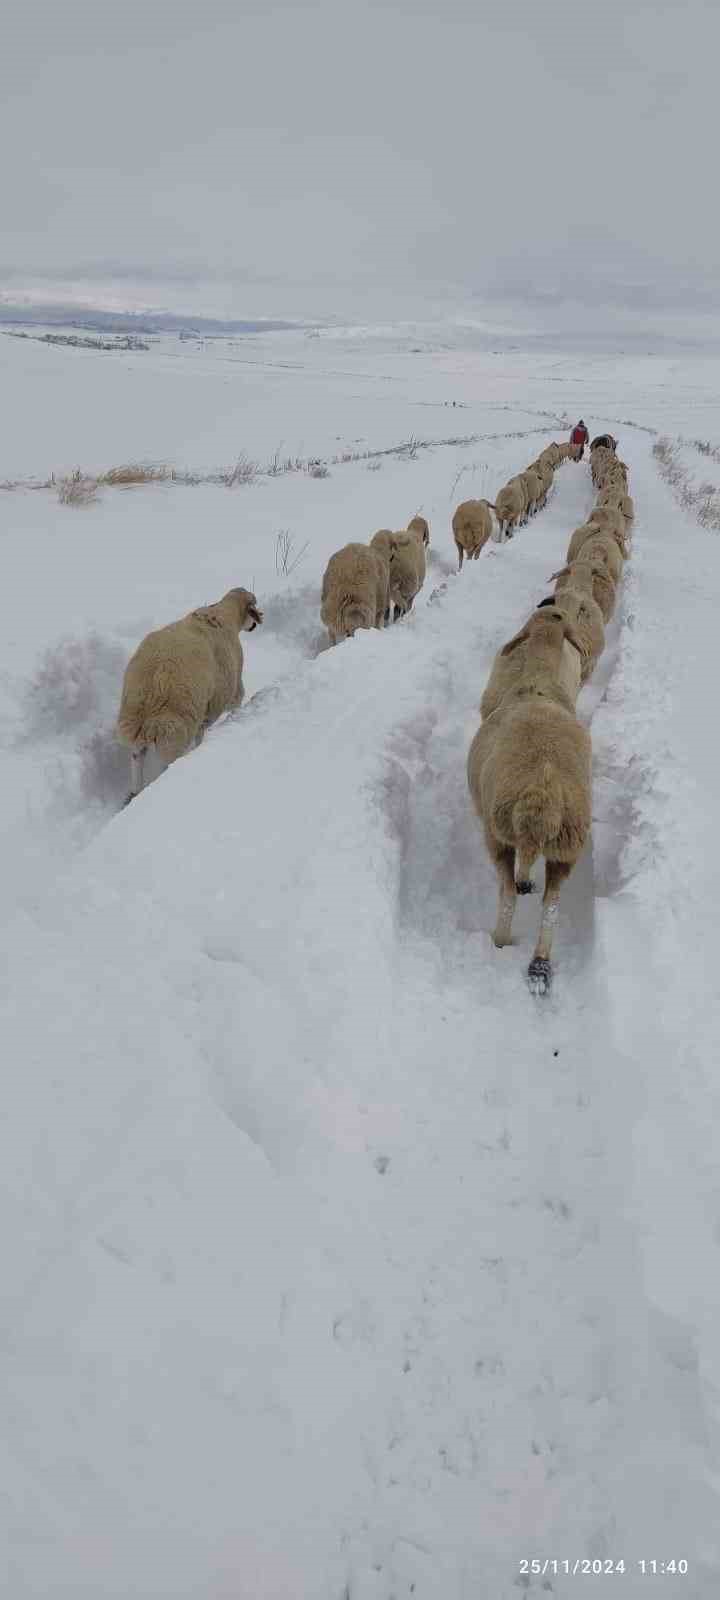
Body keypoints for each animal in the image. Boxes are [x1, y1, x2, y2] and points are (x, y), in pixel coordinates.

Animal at [116, 588, 262, 800]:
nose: (255, 624)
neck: (221, 616)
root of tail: (150, 696)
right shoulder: (222, 695)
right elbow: (227, 709)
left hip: (132, 726)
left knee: (137, 758)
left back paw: (134, 793)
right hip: (173, 734)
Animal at [467, 608, 592, 985]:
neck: (539, 679)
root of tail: (543, 793)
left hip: (498, 833)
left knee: (508, 893)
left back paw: (500, 940)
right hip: (568, 846)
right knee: (551, 906)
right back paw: (540, 964)